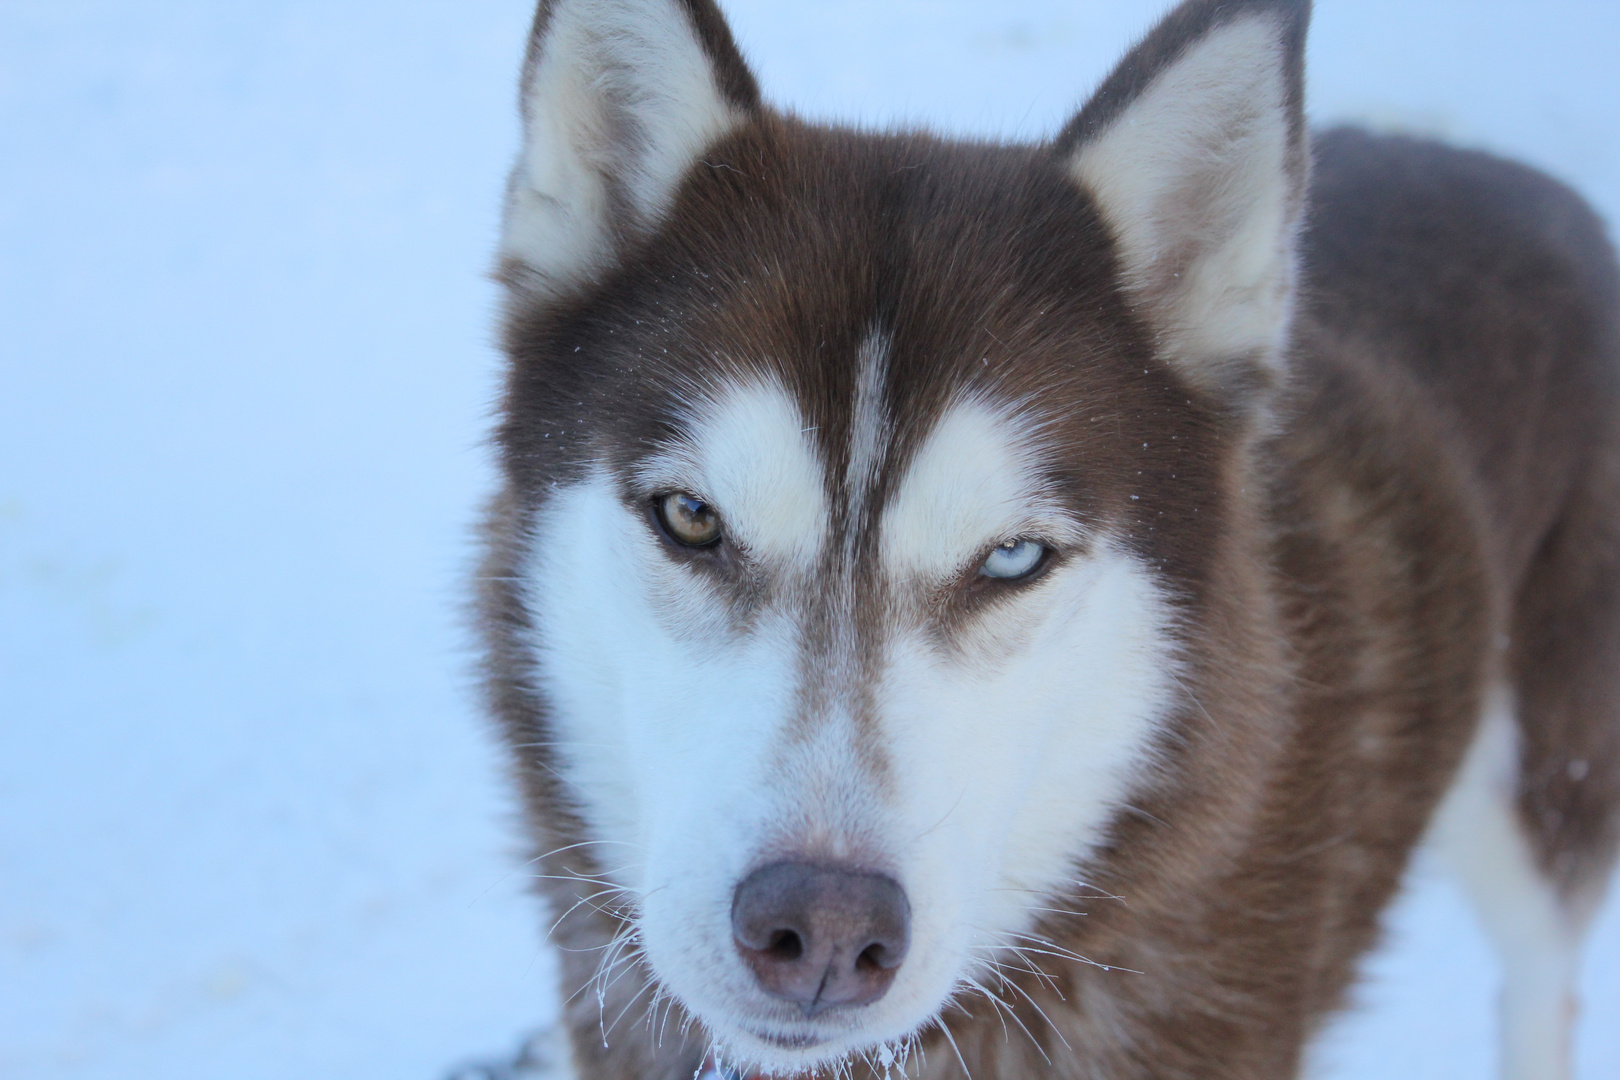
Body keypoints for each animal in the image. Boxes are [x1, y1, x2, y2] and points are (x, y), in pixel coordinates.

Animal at [476, 2, 1620, 1080]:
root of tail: (1534, 186)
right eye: (691, 517)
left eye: (1013, 558)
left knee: (1543, 979)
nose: (824, 930)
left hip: (1537, 800)